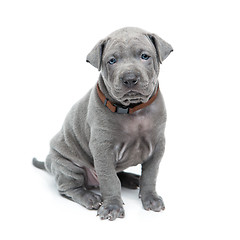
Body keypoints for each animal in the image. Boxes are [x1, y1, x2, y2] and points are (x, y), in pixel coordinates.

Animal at [33, 27, 172, 220]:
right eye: (112, 60)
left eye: (145, 56)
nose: (130, 78)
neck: (132, 109)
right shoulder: (102, 149)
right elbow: (110, 179)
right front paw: (112, 206)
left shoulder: (158, 146)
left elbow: (150, 175)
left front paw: (151, 198)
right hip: (66, 165)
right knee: (69, 188)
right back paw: (90, 197)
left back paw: (131, 179)